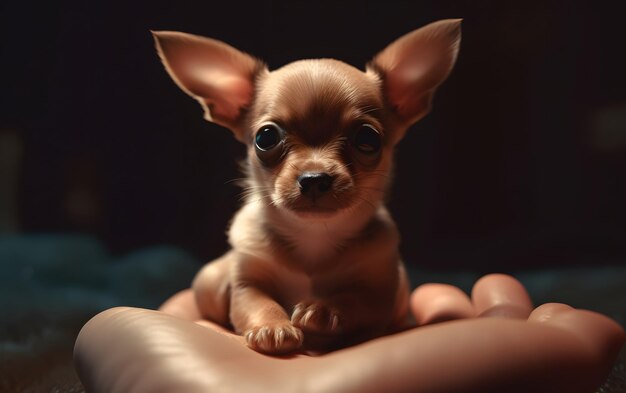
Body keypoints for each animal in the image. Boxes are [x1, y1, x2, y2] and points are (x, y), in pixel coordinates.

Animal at [154, 18, 460, 354]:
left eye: (368, 139)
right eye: (265, 137)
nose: (314, 178)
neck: (313, 236)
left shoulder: (380, 292)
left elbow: (355, 299)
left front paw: (323, 310)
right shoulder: (247, 284)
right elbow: (257, 302)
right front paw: (272, 327)